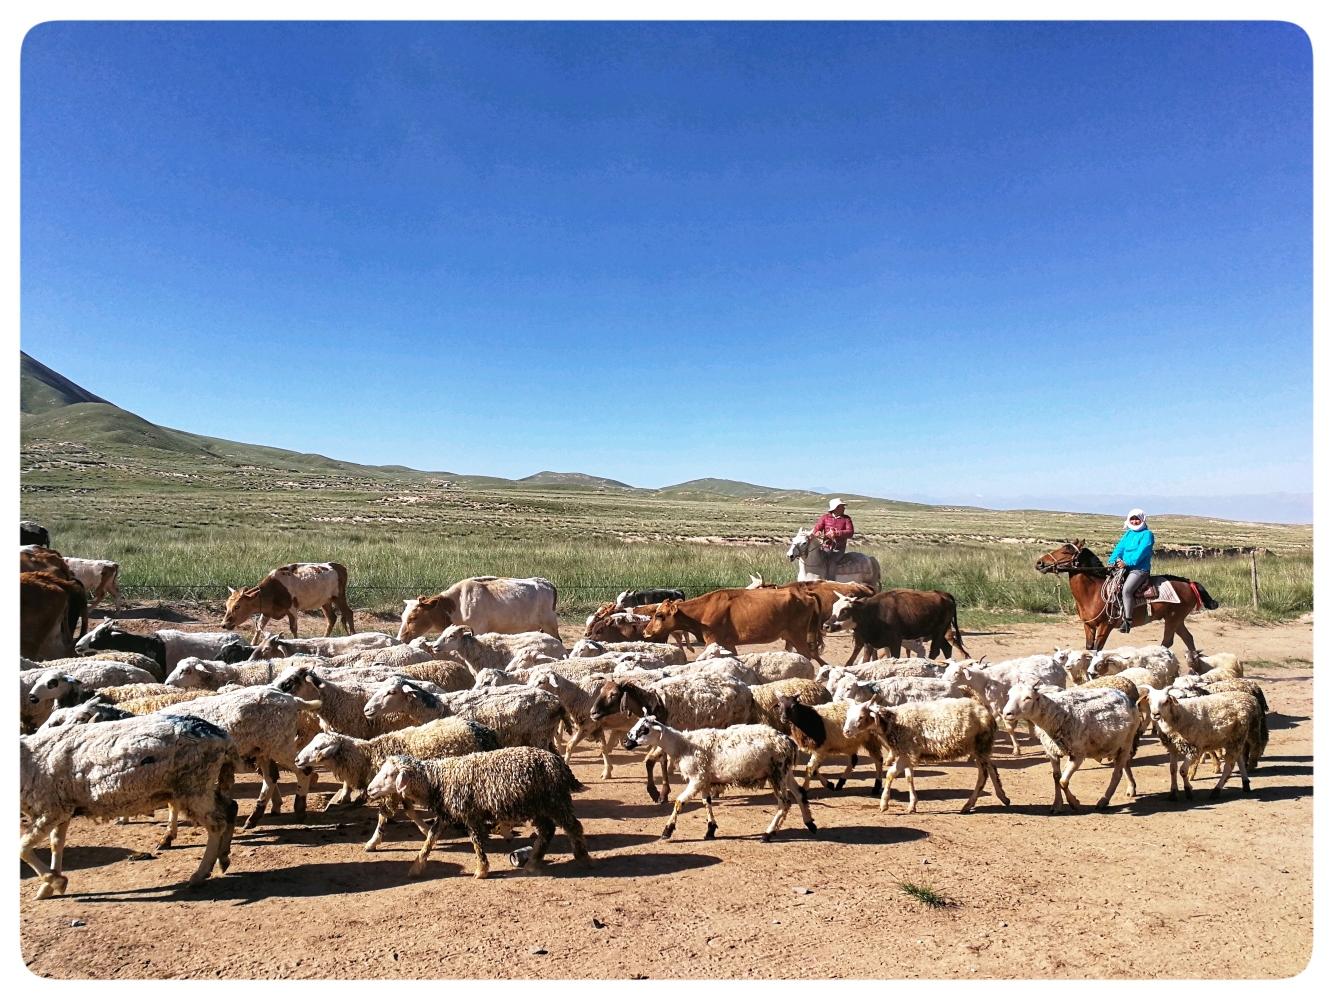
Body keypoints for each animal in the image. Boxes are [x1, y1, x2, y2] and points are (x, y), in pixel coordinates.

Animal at [220, 565, 354, 642]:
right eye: (227, 606)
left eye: (237, 606)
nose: (224, 625)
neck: (275, 589)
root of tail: (340, 567)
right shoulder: (267, 611)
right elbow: (259, 626)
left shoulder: (292, 609)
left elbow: (293, 628)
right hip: (325, 601)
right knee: (331, 618)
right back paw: (324, 638)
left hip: (339, 597)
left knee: (348, 613)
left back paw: (353, 634)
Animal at [397, 578, 560, 642]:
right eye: (402, 618)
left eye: (413, 618)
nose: (400, 639)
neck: (458, 603)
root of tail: (547, 584)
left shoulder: (479, 629)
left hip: (550, 624)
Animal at [640, 586, 827, 666]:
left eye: (659, 615)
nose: (645, 632)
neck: (705, 608)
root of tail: (804, 592)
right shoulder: (728, 644)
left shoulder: (712, 640)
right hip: (790, 638)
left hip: (798, 635)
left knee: (808, 656)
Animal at [816, 586, 965, 666]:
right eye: (834, 607)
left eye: (845, 610)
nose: (826, 625)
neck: (874, 613)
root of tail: (945, 594)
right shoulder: (869, 643)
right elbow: (866, 660)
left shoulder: (895, 643)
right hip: (938, 633)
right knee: (947, 648)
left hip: (939, 632)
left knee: (934, 651)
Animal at [1029, 541, 1221, 666]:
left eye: (1066, 551)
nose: (1039, 562)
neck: (1093, 592)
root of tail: (1189, 583)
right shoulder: (1088, 626)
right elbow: (1089, 648)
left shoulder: (1105, 627)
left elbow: (1097, 649)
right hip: (1177, 619)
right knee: (1188, 638)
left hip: (1173, 619)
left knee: (1167, 642)